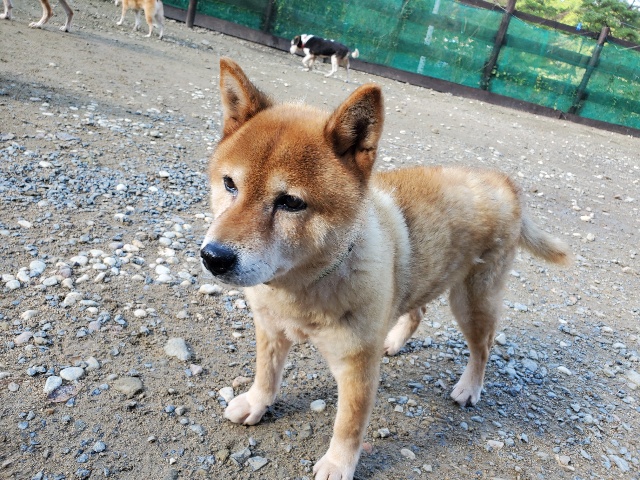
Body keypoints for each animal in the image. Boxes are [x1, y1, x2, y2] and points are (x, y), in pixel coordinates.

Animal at [200, 58, 571, 479]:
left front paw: (338, 464)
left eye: (291, 202)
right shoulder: (270, 329)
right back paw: (393, 341)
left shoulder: (357, 367)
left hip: (471, 302)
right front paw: (256, 403)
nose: (213, 257)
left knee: (483, 347)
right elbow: (266, 374)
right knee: (418, 309)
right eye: (230, 184)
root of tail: (504, 184)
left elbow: (348, 425)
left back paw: (469, 387)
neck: (300, 290)